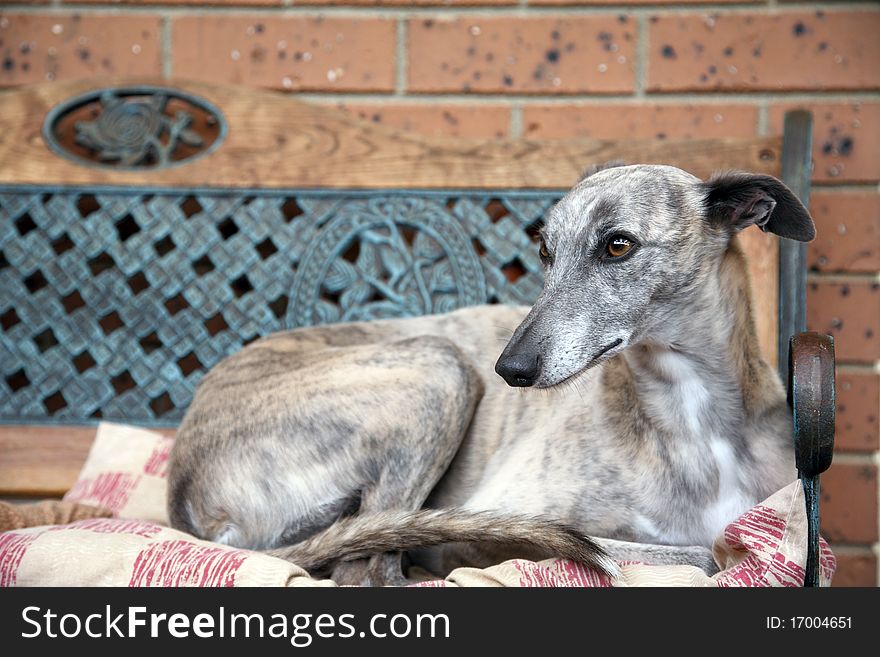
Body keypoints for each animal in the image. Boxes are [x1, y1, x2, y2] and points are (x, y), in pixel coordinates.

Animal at [167, 164, 820, 584]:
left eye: (617, 245)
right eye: (546, 252)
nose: (511, 368)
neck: (688, 417)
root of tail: (182, 491)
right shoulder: (498, 518)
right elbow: (701, 554)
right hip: (439, 368)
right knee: (362, 568)